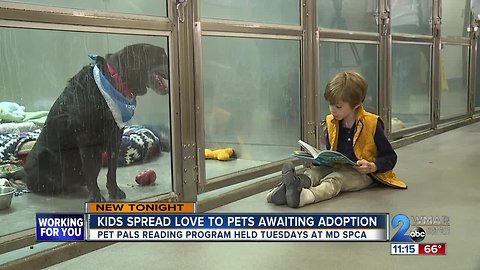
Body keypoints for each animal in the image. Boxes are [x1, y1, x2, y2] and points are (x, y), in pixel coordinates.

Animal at [21, 43, 170, 201]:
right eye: (162, 56)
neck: (115, 80)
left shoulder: (116, 135)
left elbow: (112, 169)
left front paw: (114, 191)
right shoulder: (86, 137)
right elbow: (90, 170)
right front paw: (96, 196)